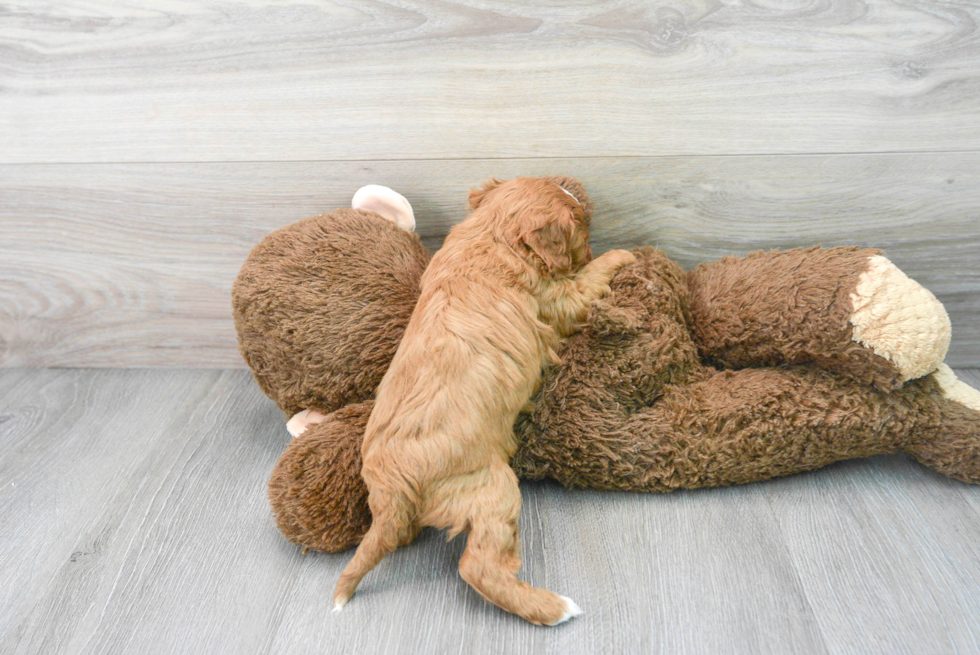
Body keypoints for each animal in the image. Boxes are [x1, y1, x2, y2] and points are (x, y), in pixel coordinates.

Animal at [334, 177, 632, 628]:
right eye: (581, 229)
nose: (594, 248)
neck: (490, 237)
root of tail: (393, 492)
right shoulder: (558, 299)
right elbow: (586, 283)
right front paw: (626, 253)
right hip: (491, 489)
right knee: (478, 566)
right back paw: (553, 607)